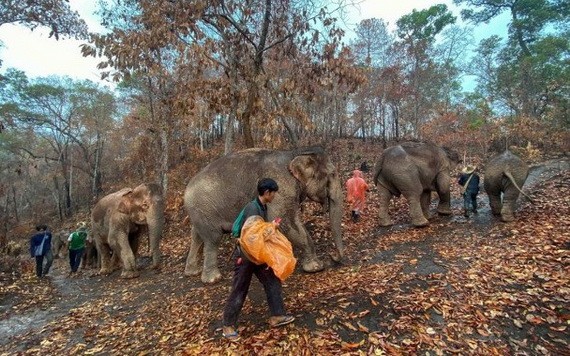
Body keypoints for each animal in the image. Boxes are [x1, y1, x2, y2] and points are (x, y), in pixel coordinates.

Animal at [183, 145, 342, 284]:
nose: (332, 256)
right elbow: (286, 222)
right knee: (212, 239)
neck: (295, 152)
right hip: (205, 210)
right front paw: (316, 267)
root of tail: (185, 191)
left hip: (199, 213)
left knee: (196, 236)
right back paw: (213, 279)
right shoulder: (282, 188)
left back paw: (193, 272)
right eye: (333, 174)